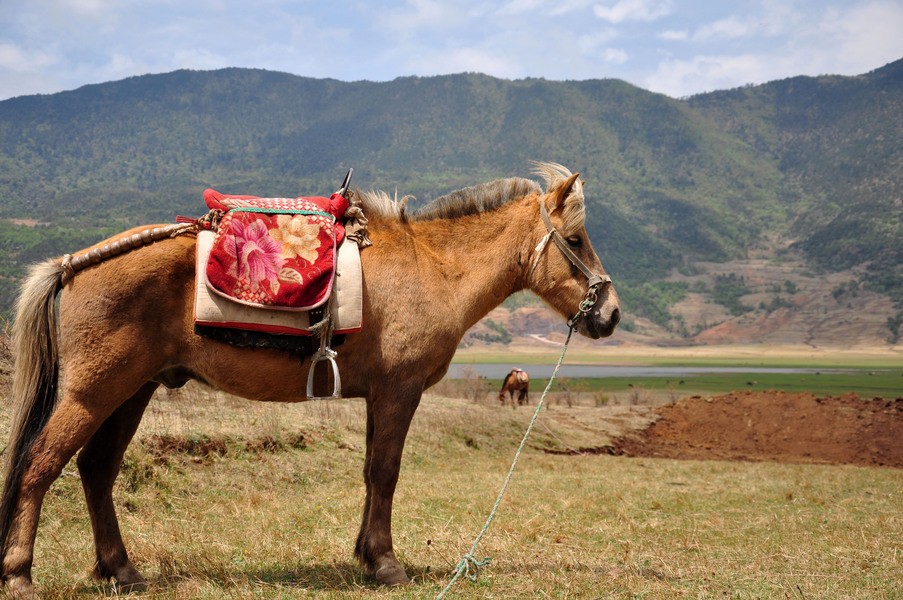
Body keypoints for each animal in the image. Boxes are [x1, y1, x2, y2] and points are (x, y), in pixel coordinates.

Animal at [0, 163, 620, 597]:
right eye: (577, 241)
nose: (610, 314)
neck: (434, 270)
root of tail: (74, 264)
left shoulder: (379, 397)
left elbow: (372, 474)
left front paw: (367, 555)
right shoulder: (399, 392)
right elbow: (386, 473)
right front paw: (387, 564)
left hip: (132, 390)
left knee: (96, 471)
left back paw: (122, 570)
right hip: (92, 392)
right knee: (39, 465)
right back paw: (21, 573)